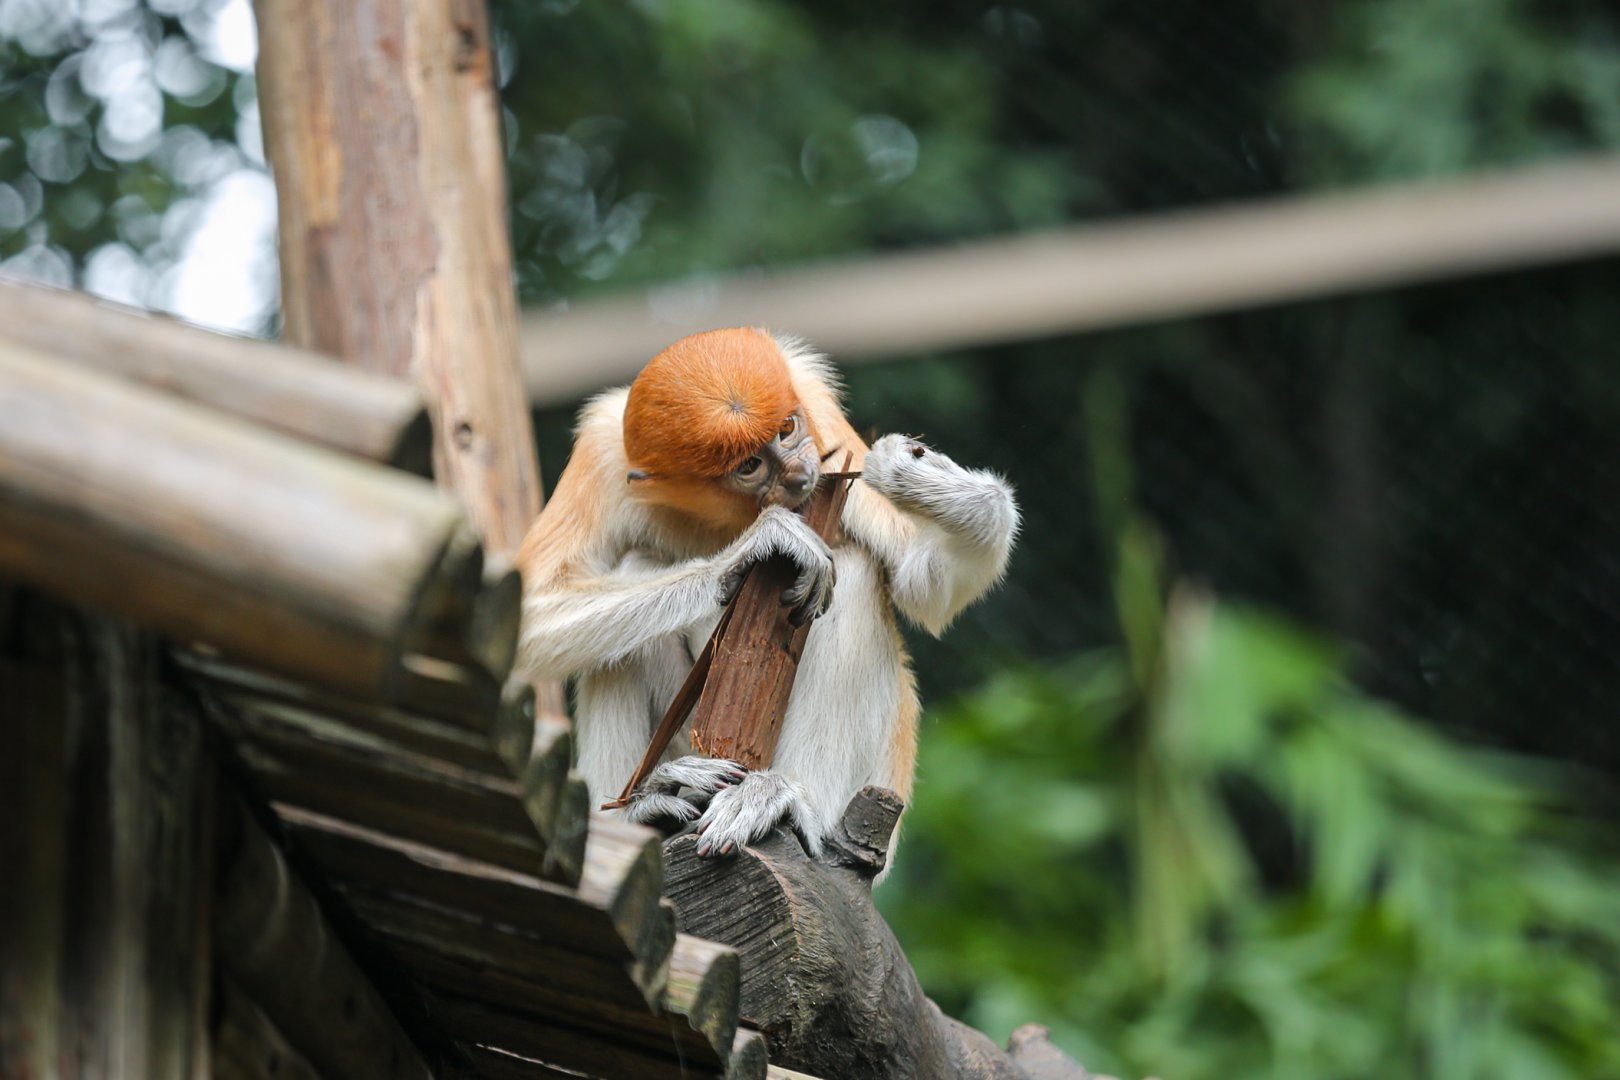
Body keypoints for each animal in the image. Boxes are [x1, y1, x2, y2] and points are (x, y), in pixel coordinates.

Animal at [516, 327, 1018, 862]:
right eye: (750, 465)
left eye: (788, 429)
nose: (799, 476)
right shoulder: (604, 453)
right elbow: (529, 622)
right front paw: (754, 548)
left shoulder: (819, 412)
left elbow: (925, 589)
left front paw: (921, 476)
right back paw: (646, 807)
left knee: (855, 574)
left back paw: (786, 800)